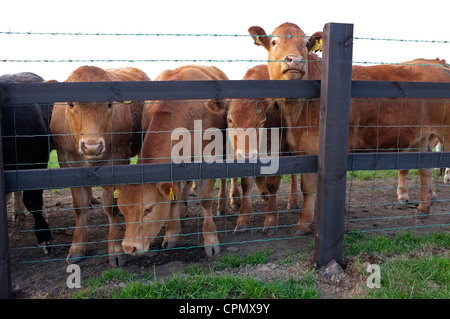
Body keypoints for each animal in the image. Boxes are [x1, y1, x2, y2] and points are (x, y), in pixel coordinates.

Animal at [50, 65, 150, 268]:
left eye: (110, 104)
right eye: (71, 104)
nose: (92, 146)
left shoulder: (117, 162)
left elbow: (111, 207)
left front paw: (116, 249)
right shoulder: (69, 164)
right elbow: (79, 206)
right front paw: (77, 246)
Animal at [117, 66, 229, 258]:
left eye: (148, 209)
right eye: (122, 210)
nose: (130, 248)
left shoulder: (210, 157)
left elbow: (205, 199)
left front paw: (211, 239)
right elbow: (173, 199)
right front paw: (171, 233)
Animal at [248, 21, 450, 234]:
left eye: (306, 44)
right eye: (274, 41)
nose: (294, 60)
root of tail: (438, 63)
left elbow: (312, 188)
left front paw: (305, 224)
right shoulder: (303, 147)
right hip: (421, 136)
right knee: (425, 169)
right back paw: (423, 209)